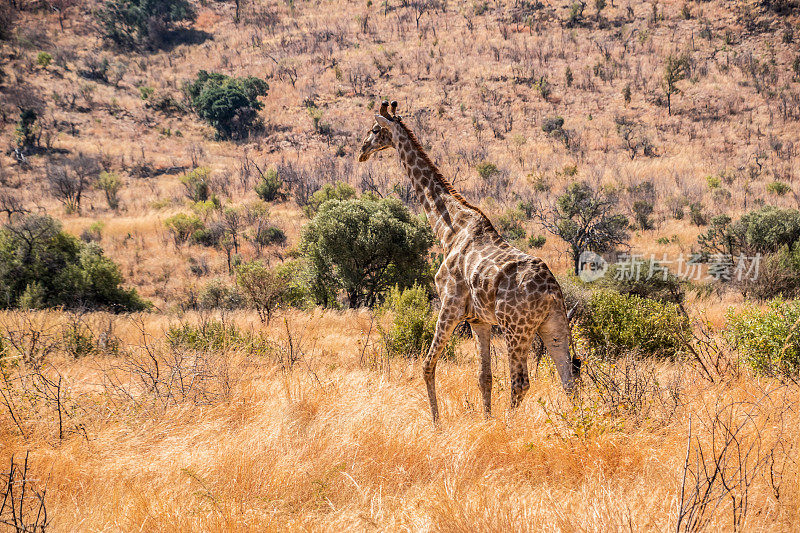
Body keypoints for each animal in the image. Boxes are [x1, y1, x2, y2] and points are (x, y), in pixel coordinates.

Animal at [360, 101, 580, 424]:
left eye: (375, 130)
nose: (362, 151)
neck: (448, 229)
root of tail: (553, 291)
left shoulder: (450, 304)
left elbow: (427, 365)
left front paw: (437, 423)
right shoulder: (479, 320)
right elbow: (484, 377)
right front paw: (485, 420)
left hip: (516, 328)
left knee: (521, 382)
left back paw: (509, 426)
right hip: (554, 327)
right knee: (569, 378)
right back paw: (578, 425)